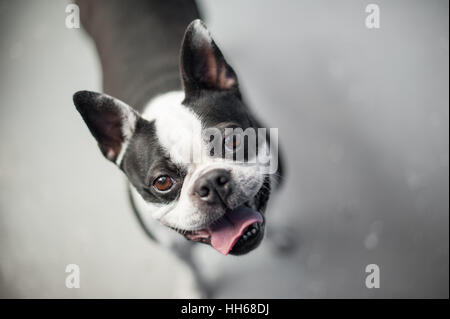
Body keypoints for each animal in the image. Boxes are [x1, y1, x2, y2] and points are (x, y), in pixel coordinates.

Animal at [74, 0, 284, 298]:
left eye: (234, 141)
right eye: (162, 182)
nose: (212, 181)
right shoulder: (174, 247)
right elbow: (190, 266)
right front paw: (196, 288)